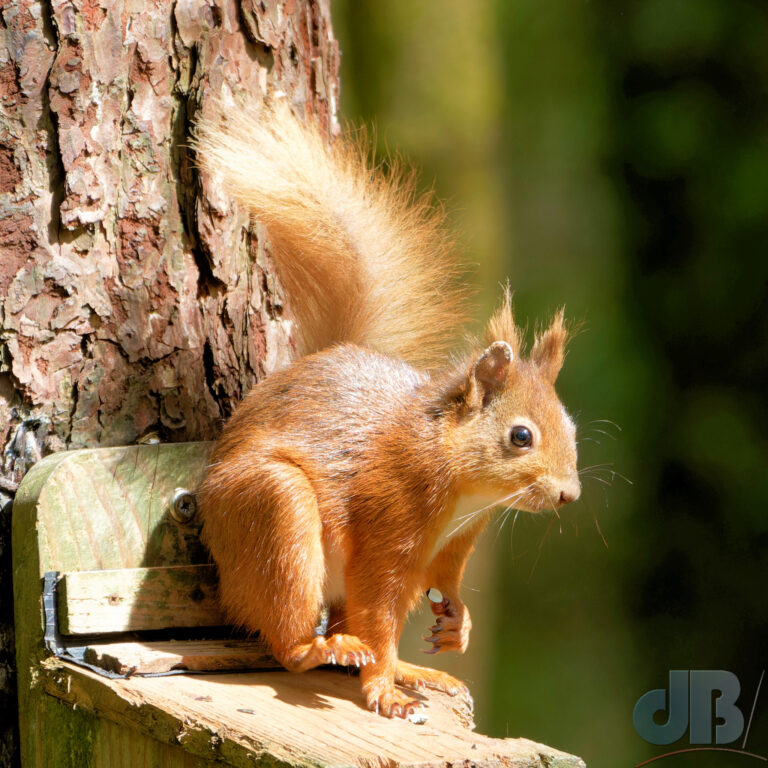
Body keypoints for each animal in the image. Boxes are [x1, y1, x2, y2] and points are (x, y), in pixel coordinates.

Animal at [194, 100, 584, 720]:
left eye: (570, 427)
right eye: (521, 437)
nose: (569, 494)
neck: (463, 490)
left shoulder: (453, 544)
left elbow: (444, 584)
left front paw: (457, 626)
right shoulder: (389, 519)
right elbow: (380, 605)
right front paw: (383, 690)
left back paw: (411, 668)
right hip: (273, 511)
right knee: (292, 633)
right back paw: (326, 650)